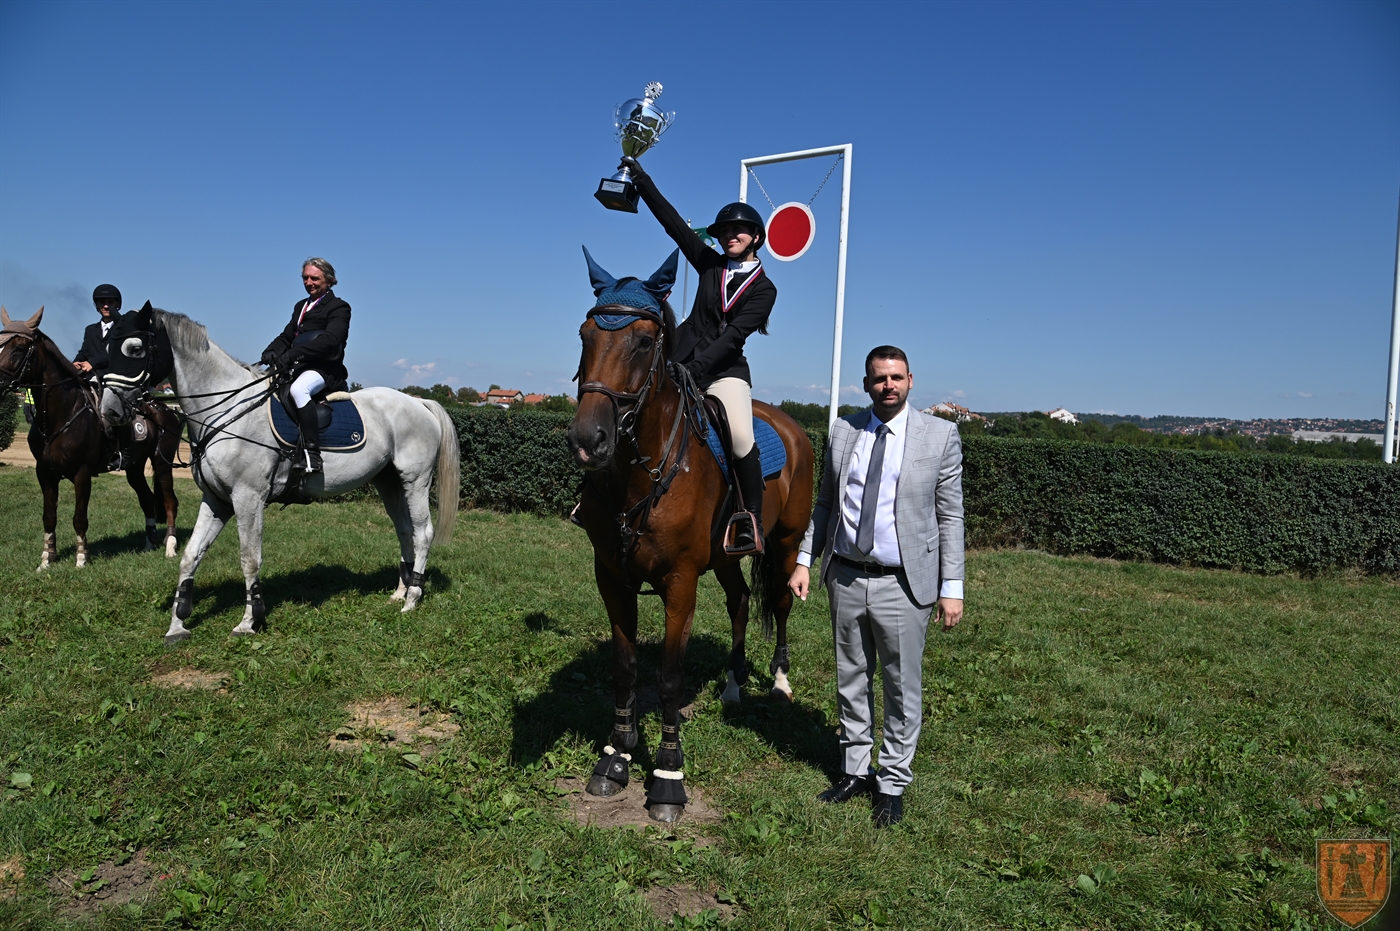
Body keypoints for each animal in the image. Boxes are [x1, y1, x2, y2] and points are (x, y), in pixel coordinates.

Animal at [0, 305, 181, 568]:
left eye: (19, 348)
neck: (61, 415)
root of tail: (166, 409)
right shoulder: (44, 473)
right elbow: (49, 516)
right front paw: (46, 559)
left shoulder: (82, 473)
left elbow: (79, 518)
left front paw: (81, 559)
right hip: (134, 468)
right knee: (147, 499)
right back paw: (149, 544)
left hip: (162, 463)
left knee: (169, 502)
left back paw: (170, 547)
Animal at [151, 309, 459, 644]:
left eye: (135, 348)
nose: (123, 407)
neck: (229, 411)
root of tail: (418, 402)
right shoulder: (217, 499)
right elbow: (191, 554)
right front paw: (177, 625)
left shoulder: (248, 497)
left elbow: (249, 558)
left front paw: (248, 622)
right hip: (389, 482)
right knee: (405, 530)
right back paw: (400, 592)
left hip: (415, 481)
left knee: (422, 532)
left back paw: (413, 599)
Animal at [567, 261, 814, 824]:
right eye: (586, 336)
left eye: (643, 342)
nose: (589, 442)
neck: (639, 472)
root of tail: (793, 426)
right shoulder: (611, 577)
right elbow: (625, 667)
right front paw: (615, 758)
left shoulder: (679, 583)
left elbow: (669, 678)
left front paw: (666, 777)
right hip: (725, 556)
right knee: (740, 600)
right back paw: (733, 685)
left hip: (786, 541)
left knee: (781, 602)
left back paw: (779, 682)